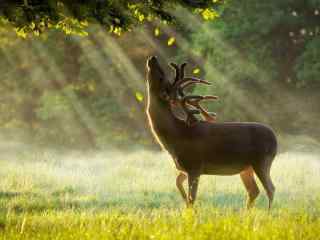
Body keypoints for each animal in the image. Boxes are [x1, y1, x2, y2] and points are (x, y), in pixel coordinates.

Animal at [146, 55, 278, 208]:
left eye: (162, 77)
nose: (153, 58)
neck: (176, 136)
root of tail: (275, 140)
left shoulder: (195, 166)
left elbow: (192, 198)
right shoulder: (184, 168)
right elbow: (179, 184)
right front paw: (184, 202)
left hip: (262, 161)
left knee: (270, 188)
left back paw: (268, 212)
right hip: (246, 167)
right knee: (254, 190)